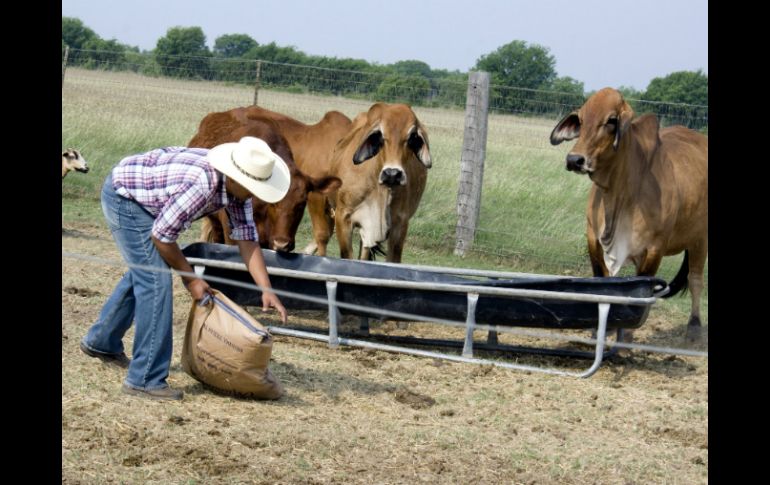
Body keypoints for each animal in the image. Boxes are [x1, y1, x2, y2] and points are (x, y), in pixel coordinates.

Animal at [548, 89, 704, 342]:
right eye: (580, 119)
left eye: (612, 120)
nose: (574, 160)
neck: (618, 193)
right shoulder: (593, 238)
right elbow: (603, 284)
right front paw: (602, 328)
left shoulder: (655, 248)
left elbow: (641, 290)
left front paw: (625, 333)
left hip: (700, 239)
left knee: (696, 280)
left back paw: (695, 327)